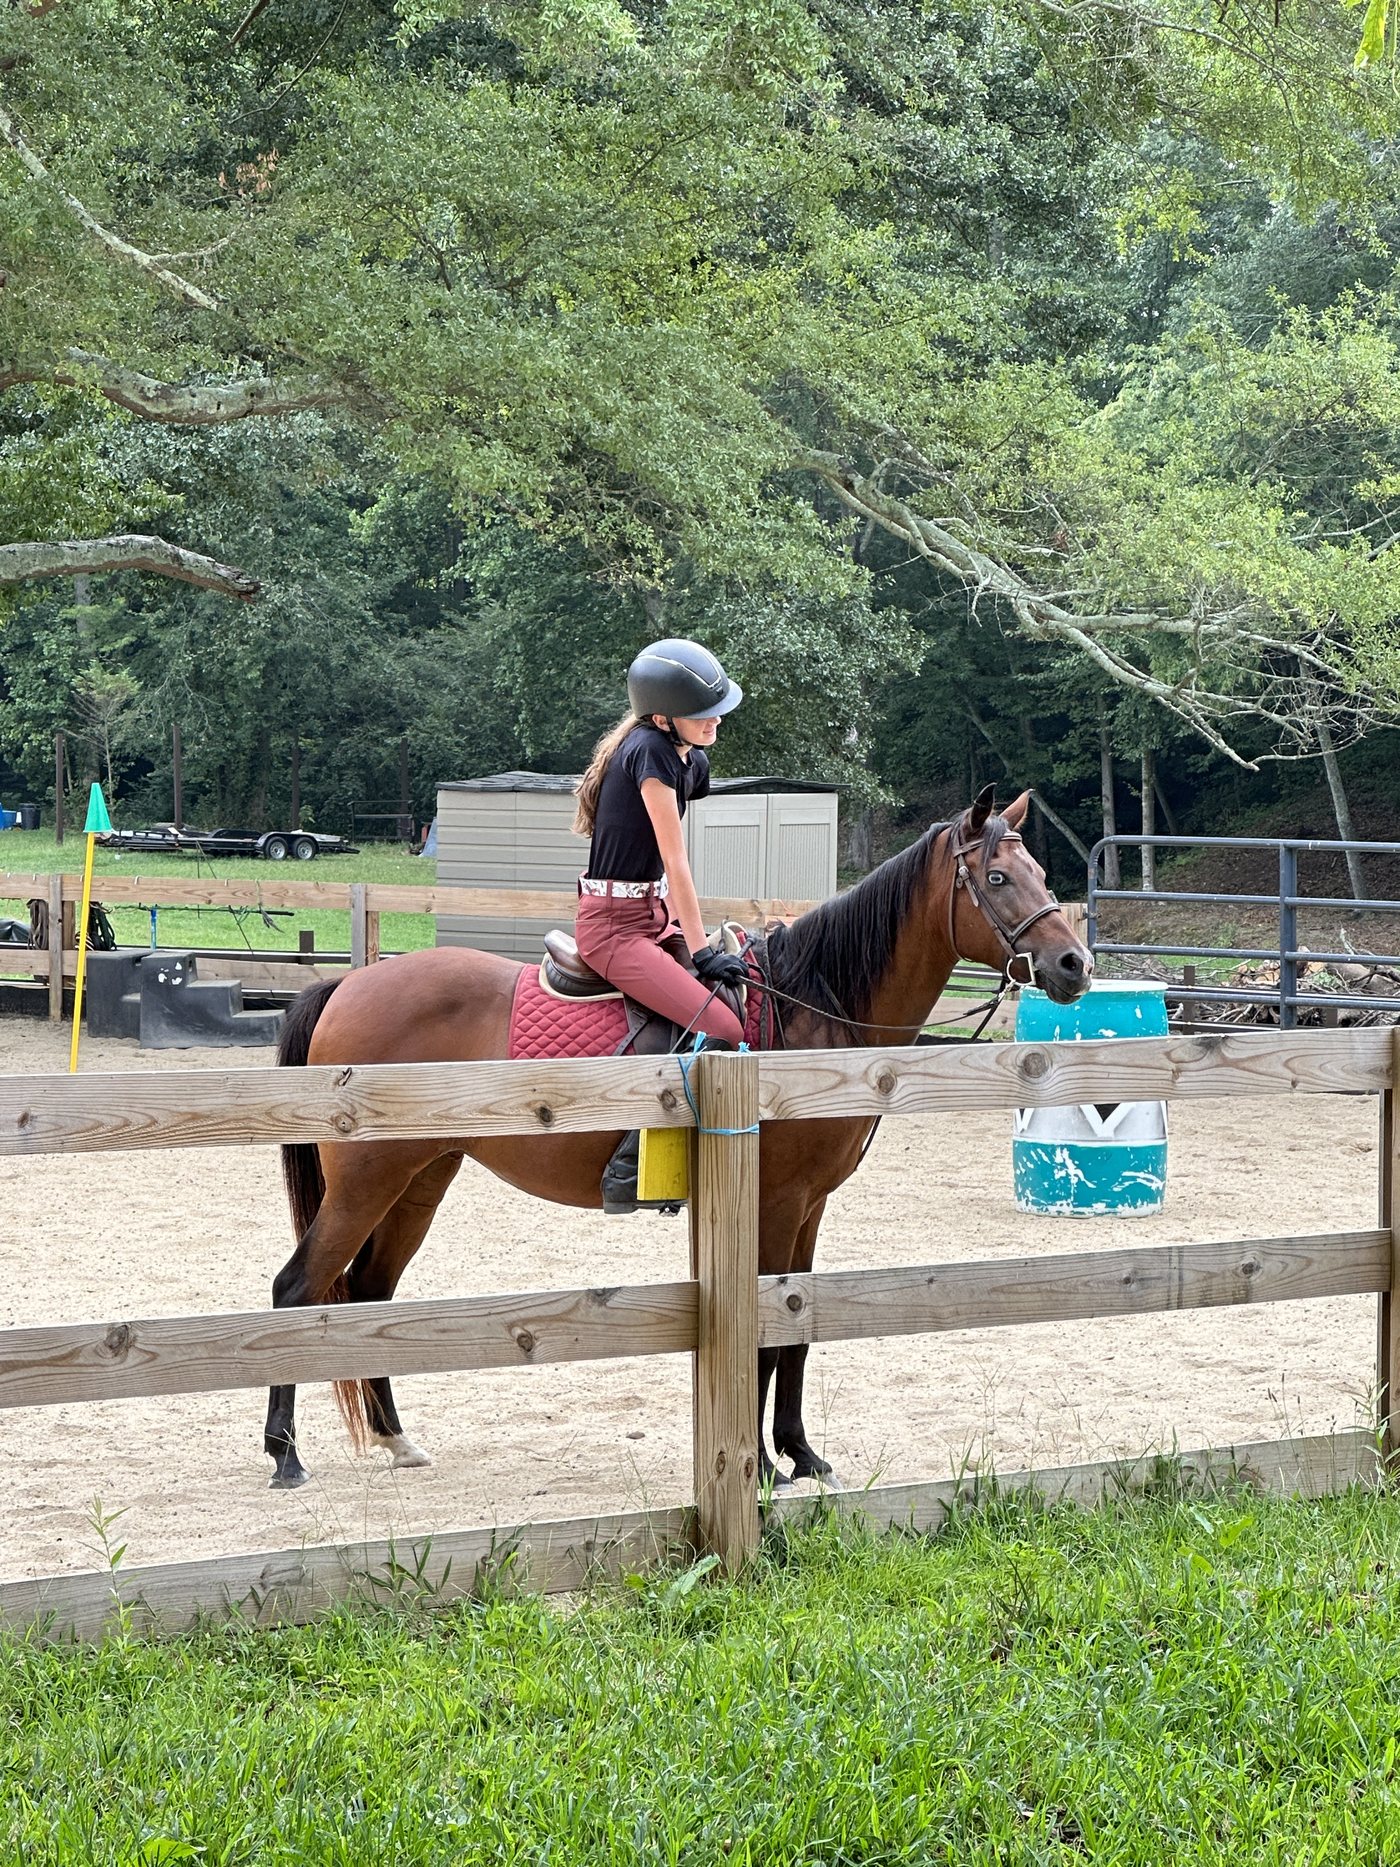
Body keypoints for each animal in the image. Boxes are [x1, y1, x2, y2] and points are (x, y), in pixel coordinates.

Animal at [265, 784, 1092, 1490]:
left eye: (1039, 871)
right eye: (996, 876)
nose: (1074, 963)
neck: (808, 1010)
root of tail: (349, 983)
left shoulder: (810, 1205)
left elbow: (797, 1323)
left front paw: (801, 1453)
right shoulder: (776, 1200)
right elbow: (765, 1329)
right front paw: (761, 1464)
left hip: (420, 1180)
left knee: (370, 1293)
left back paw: (395, 1437)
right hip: (368, 1180)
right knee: (297, 1289)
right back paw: (285, 1453)